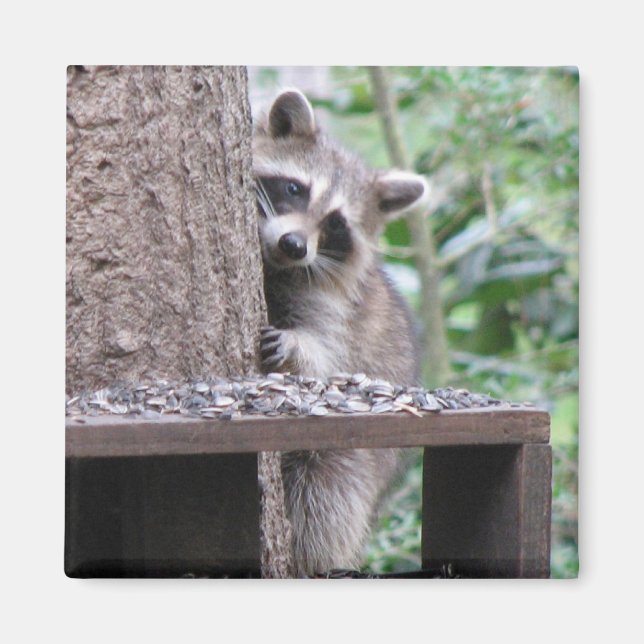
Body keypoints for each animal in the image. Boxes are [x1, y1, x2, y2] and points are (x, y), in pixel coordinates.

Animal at [253, 89, 427, 577]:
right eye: (295, 189)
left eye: (335, 223)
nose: (295, 245)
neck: (275, 265)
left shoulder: (335, 307)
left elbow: (328, 360)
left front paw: (295, 347)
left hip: (356, 462)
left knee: (327, 493)